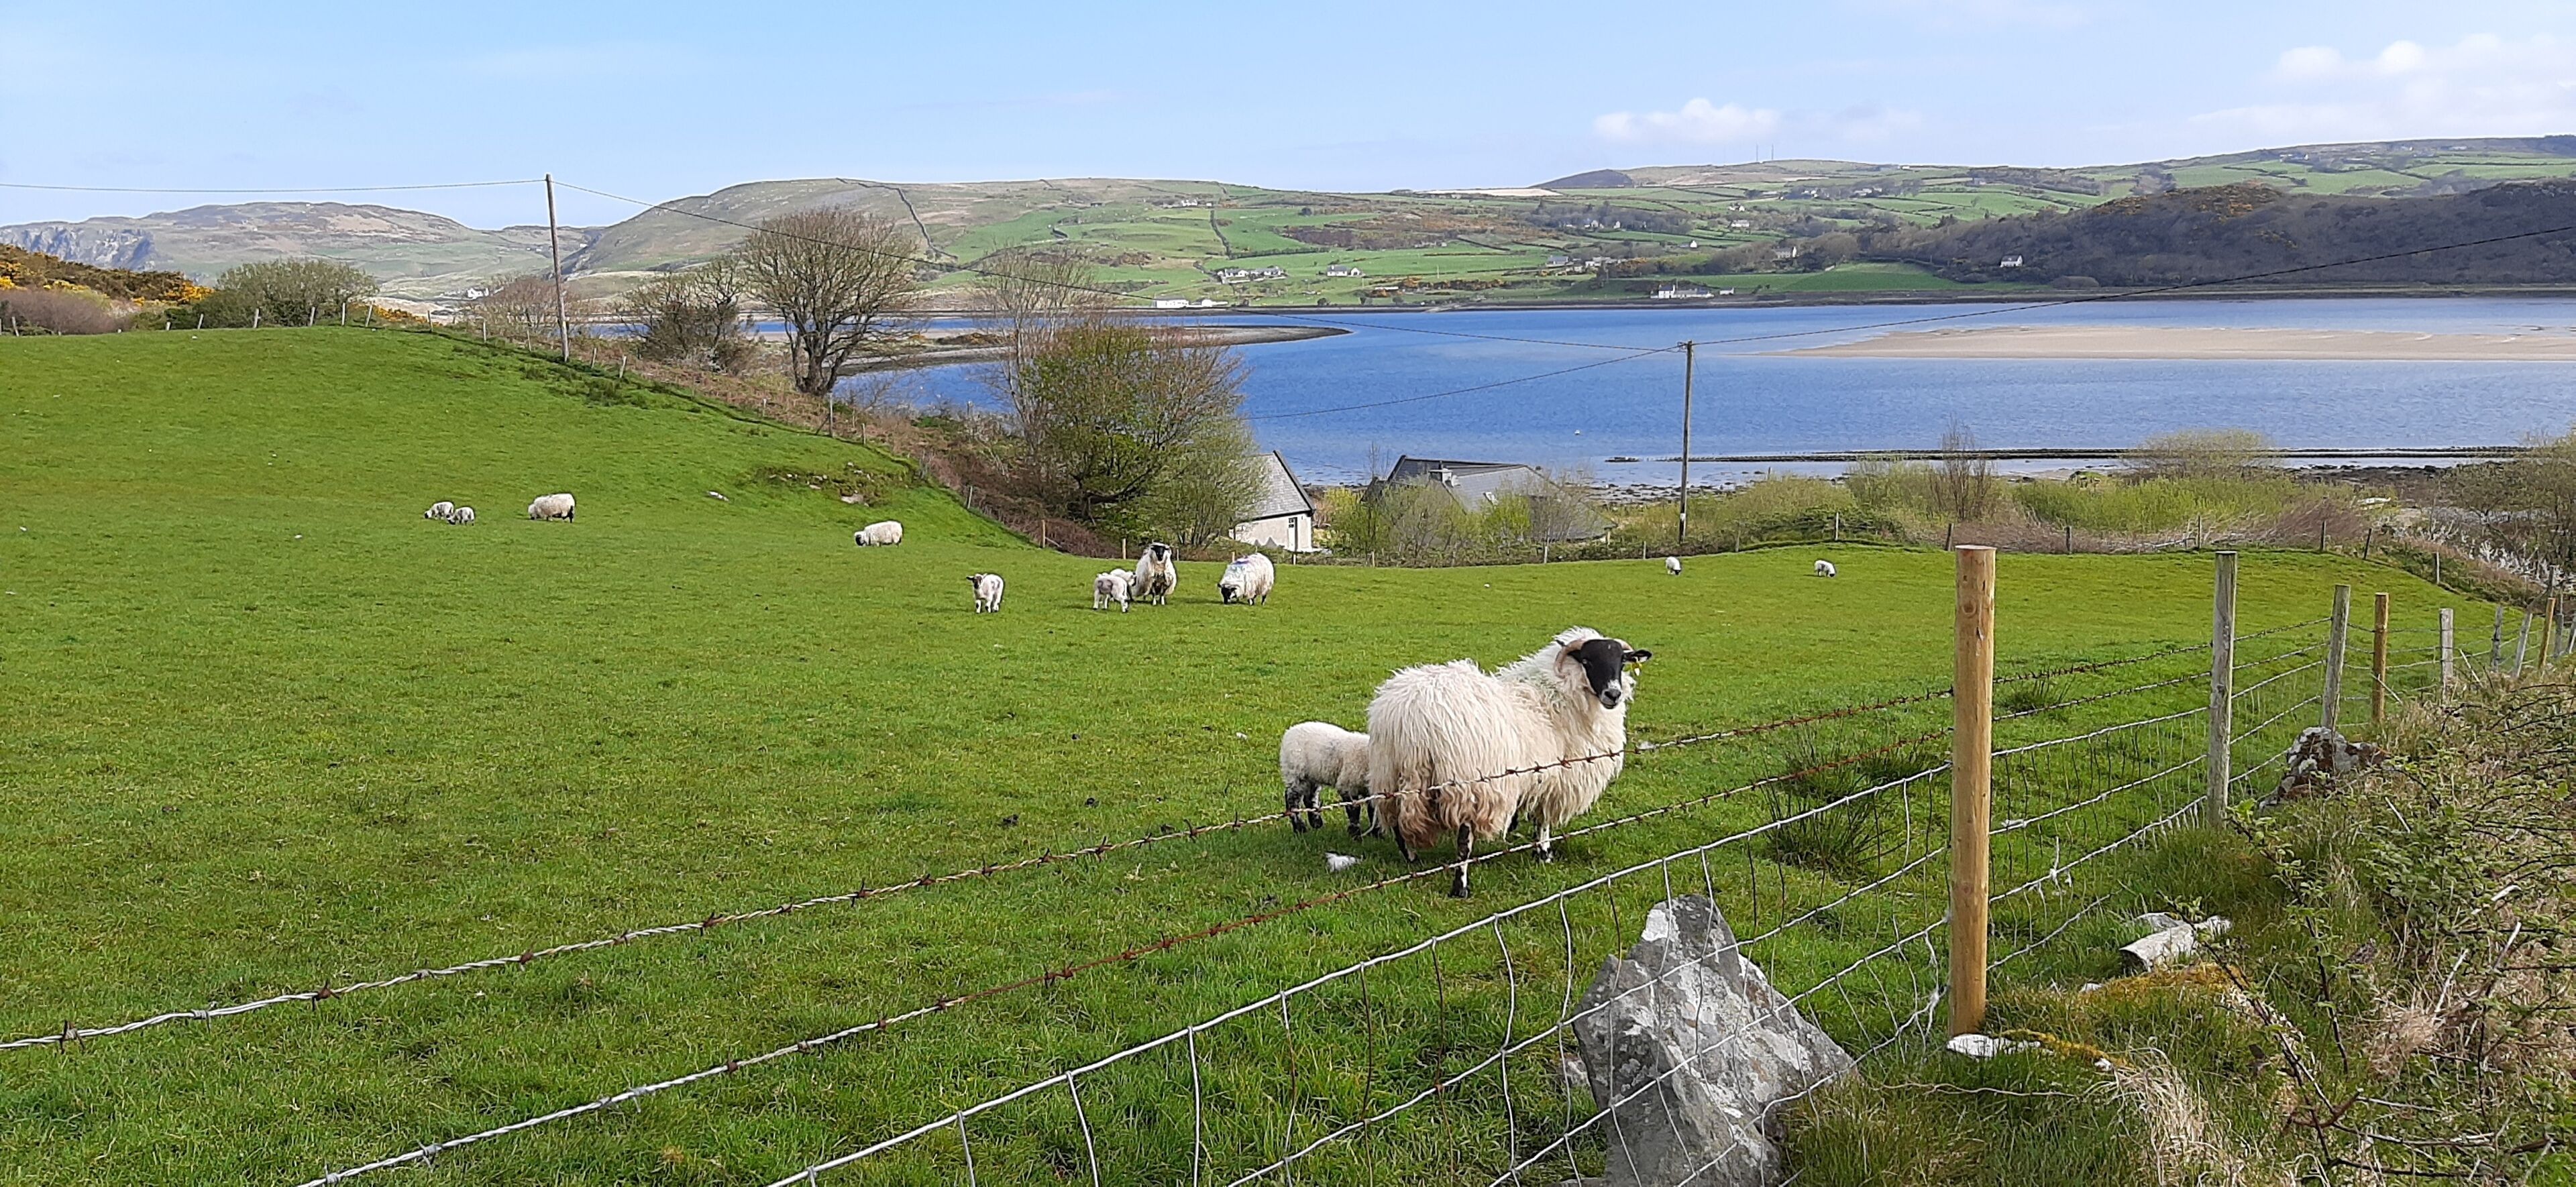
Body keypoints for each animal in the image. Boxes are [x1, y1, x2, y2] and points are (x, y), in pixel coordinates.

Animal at [1280, 721, 1373, 836]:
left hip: (1313, 775)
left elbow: (1373, 810)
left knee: (1310, 797)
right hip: (1296, 772)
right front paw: (1355, 834)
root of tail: (1290, 731)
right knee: (1292, 798)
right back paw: (1300, 828)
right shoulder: (1347, 785)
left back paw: (1316, 822)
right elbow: (1353, 810)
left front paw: (1377, 834)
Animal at [1367, 627, 1650, 896]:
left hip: (1388, 772)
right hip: (1470, 784)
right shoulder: (1554, 779)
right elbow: (1543, 821)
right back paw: (1460, 887)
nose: (1613, 694)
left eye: (1622, 661)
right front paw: (1544, 853)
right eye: (1588, 661)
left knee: (1396, 824)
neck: (1558, 697)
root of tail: (1412, 717)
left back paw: (1412, 858)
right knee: (1463, 841)